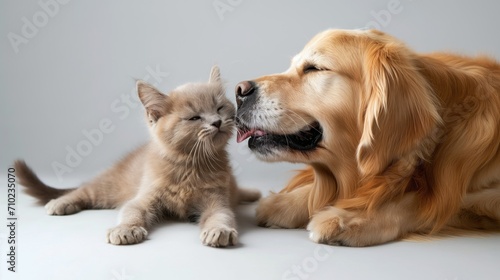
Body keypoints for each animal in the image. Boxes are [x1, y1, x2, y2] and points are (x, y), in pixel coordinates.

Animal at [236, 29, 500, 246]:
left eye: (314, 68)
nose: (239, 91)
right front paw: (285, 202)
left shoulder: (484, 194)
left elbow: (425, 201)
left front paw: (351, 218)